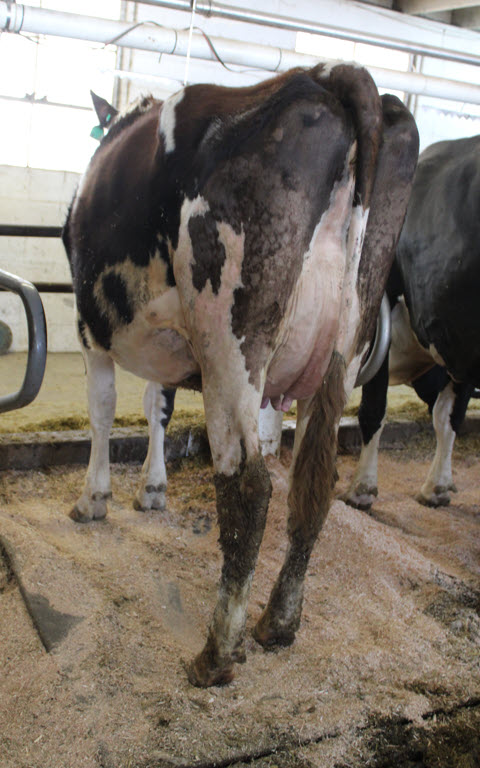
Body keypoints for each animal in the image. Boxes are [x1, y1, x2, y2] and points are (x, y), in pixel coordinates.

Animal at [63, 63, 418, 687]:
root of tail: (327, 75)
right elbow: (157, 406)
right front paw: (152, 488)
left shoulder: (91, 331)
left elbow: (103, 412)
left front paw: (93, 498)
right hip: (345, 347)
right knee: (313, 483)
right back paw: (278, 623)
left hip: (229, 334)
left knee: (249, 486)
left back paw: (217, 653)